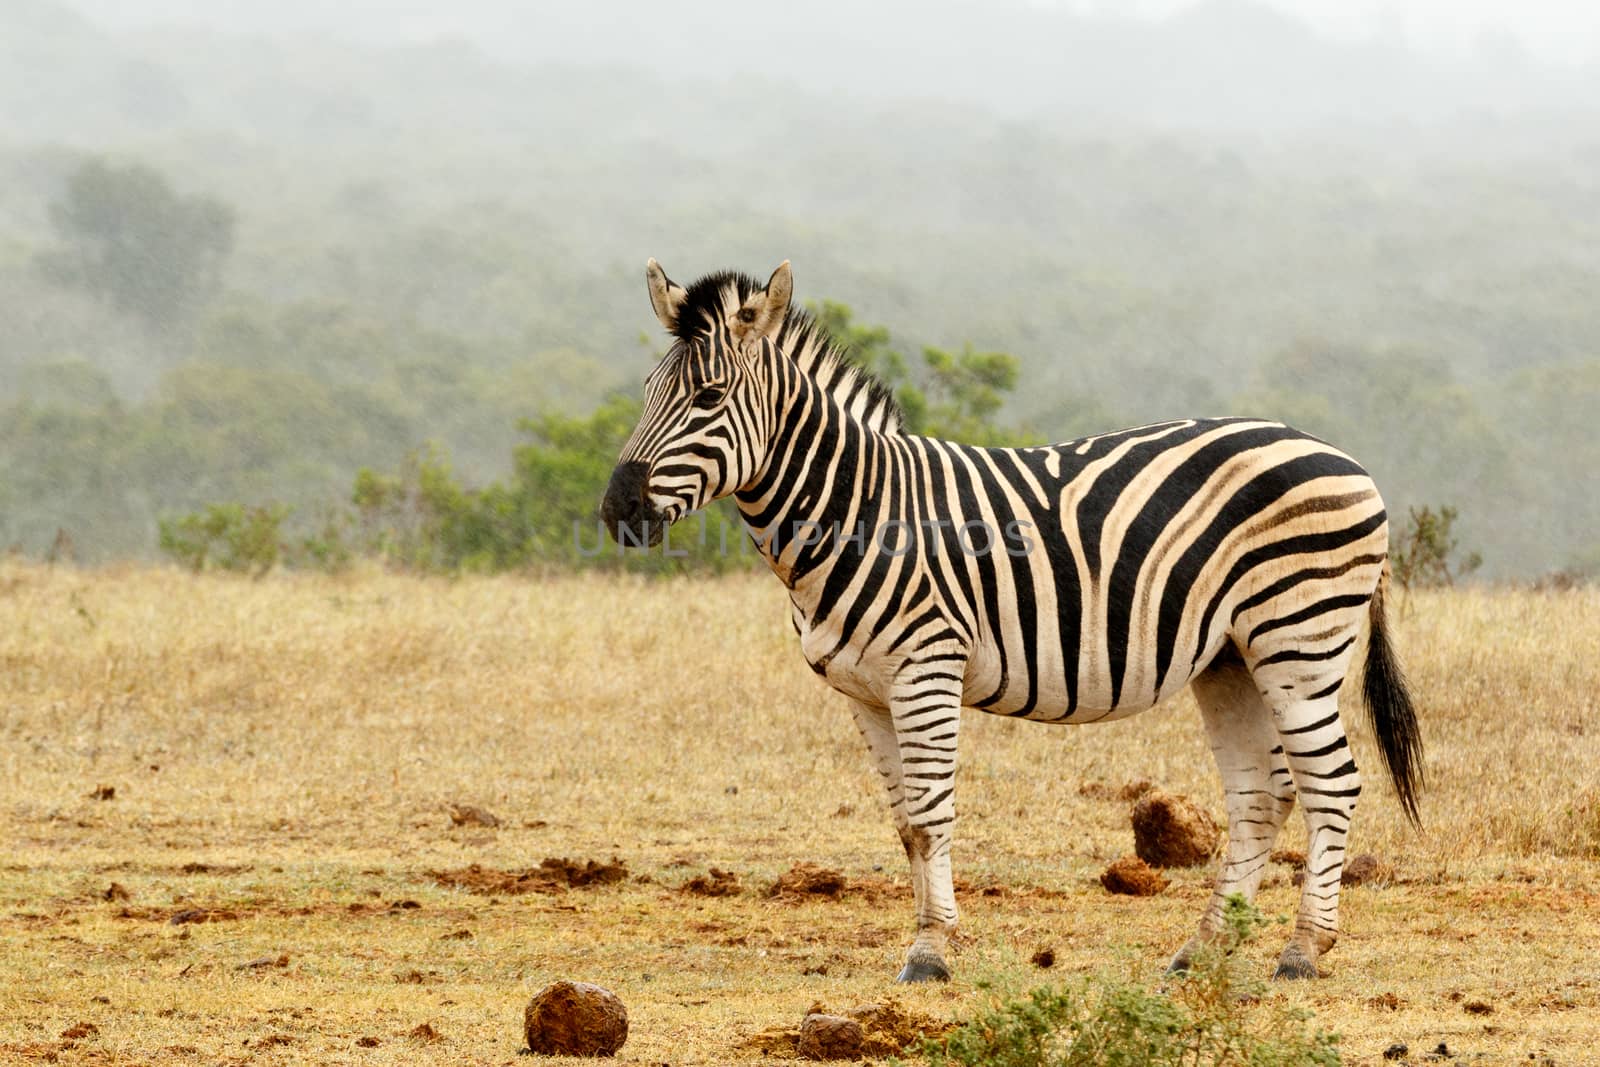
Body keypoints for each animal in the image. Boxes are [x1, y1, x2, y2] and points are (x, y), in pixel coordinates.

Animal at [601, 259, 1427, 985]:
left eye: (709, 396)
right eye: (648, 390)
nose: (617, 509)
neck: (858, 509)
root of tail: (1348, 461)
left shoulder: (926, 669)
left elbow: (932, 813)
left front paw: (931, 952)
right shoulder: (865, 692)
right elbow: (905, 825)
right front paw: (930, 938)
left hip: (1299, 639)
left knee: (1332, 784)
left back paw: (1302, 951)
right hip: (1231, 657)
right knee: (1263, 795)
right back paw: (1204, 950)